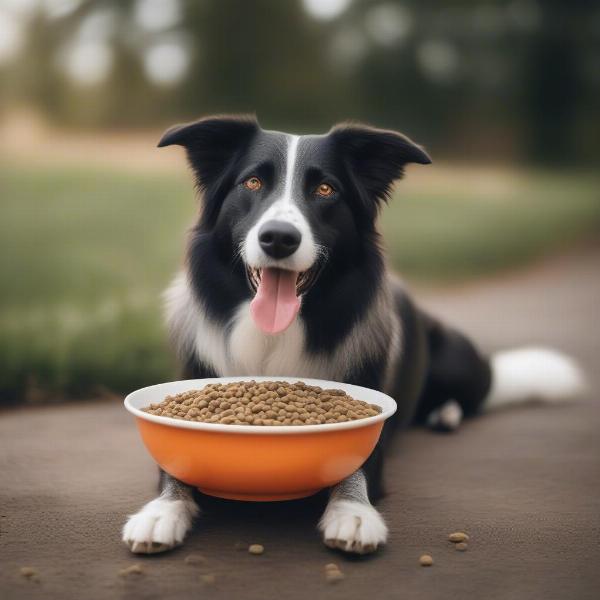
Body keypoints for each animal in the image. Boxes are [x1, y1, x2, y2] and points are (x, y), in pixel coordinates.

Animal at [119, 115, 584, 556]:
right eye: (252, 182)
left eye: (326, 189)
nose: (279, 238)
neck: (276, 335)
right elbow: (173, 469)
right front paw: (160, 512)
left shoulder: (373, 427)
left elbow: (353, 468)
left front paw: (355, 515)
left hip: (458, 358)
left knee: (474, 396)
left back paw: (445, 413)